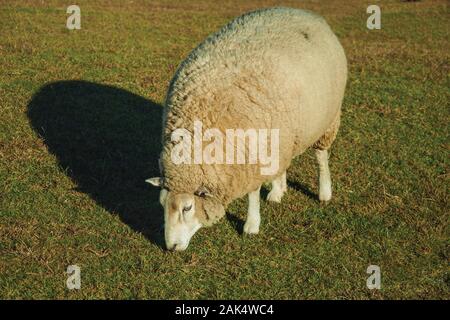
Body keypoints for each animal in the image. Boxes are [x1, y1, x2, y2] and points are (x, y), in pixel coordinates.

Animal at [147, 6, 348, 250]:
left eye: (187, 207)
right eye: (162, 204)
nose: (170, 247)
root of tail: (302, 11)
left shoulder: (251, 159)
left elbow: (253, 194)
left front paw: (251, 225)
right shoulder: (262, 148)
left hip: (327, 120)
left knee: (321, 157)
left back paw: (324, 192)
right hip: (282, 134)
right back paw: (277, 191)